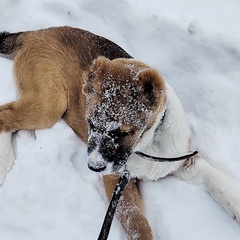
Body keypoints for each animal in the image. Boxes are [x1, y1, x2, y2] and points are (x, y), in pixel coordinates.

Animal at [0, 25, 239, 239]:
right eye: (90, 123)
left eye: (123, 132)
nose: (94, 167)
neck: (148, 145)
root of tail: (35, 32)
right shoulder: (116, 180)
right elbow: (139, 226)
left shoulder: (181, 159)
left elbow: (218, 181)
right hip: (51, 105)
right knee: (5, 116)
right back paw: (5, 164)